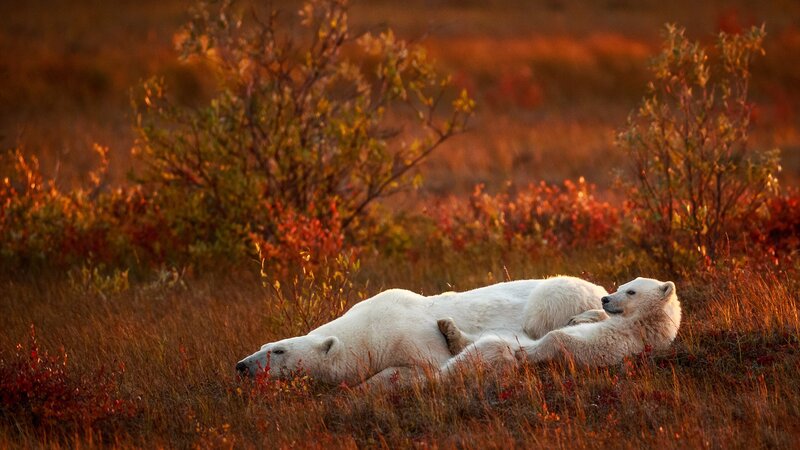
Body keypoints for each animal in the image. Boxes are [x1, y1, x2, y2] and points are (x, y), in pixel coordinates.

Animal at [235, 276, 606, 387]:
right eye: (265, 344)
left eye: (278, 351)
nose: (242, 365)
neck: (368, 329)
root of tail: (601, 286)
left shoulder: (411, 336)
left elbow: (421, 367)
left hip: (555, 296)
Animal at [439, 277, 682, 375]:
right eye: (621, 286)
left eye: (631, 291)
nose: (605, 299)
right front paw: (580, 318)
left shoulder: (626, 341)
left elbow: (570, 342)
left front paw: (527, 354)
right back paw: (448, 328)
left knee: (494, 344)